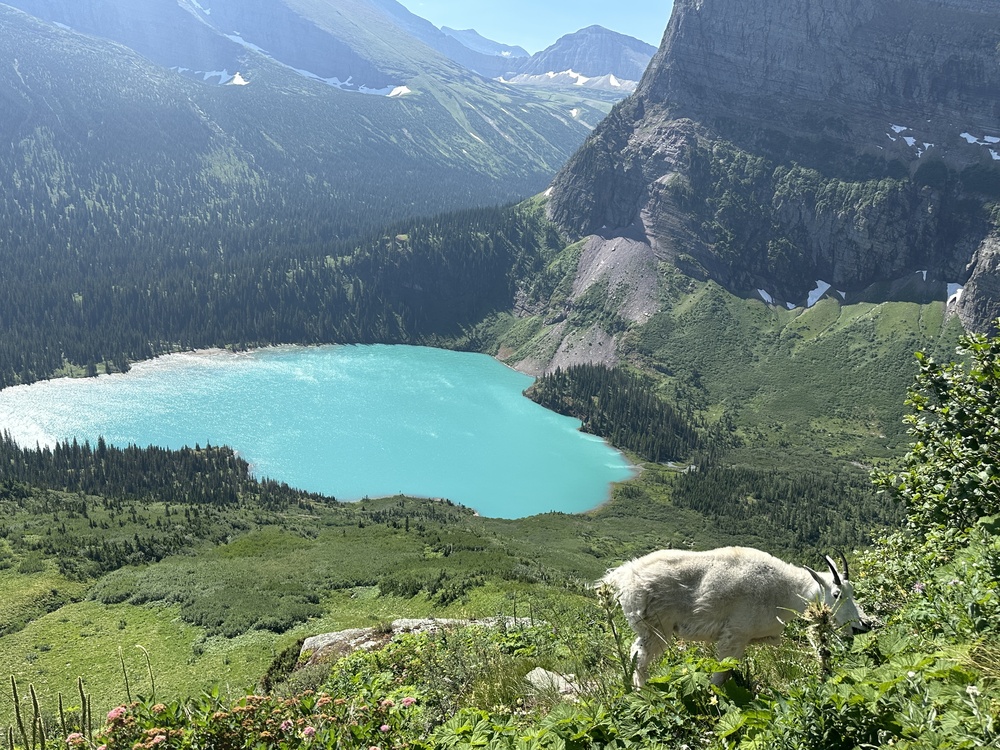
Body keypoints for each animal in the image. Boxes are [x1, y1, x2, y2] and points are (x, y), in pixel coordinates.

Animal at [601, 546, 870, 686]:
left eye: (852, 591)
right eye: (836, 594)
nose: (858, 627)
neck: (784, 590)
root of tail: (623, 577)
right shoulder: (735, 635)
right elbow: (722, 673)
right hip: (656, 628)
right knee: (640, 657)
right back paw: (644, 692)